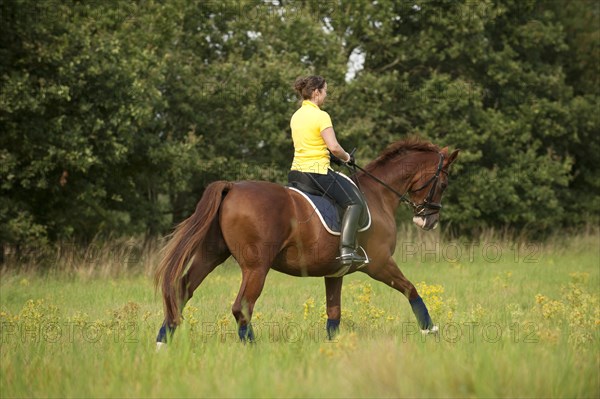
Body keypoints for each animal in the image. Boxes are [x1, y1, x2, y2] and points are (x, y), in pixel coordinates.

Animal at [155, 139, 460, 346]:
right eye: (444, 184)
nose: (428, 221)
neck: (378, 194)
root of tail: (232, 187)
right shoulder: (379, 263)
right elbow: (411, 289)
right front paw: (429, 330)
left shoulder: (334, 273)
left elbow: (334, 313)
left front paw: (332, 347)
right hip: (256, 267)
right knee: (241, 306)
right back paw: (253, 349)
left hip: (211, 255)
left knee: (181, 291)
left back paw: (162, 342)